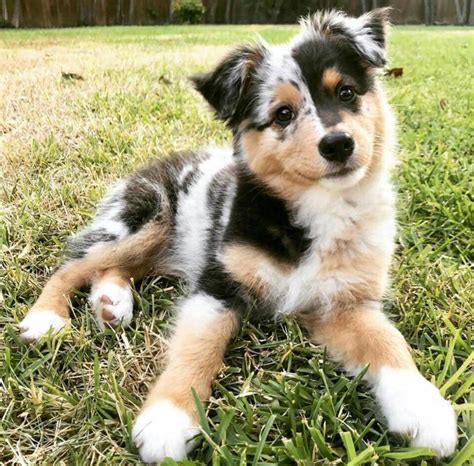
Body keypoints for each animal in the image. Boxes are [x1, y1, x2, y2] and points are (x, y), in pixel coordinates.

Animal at [19, 7, 460, 462]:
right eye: (283, 114)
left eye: (347, 93)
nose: (339, 144)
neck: (318, 207)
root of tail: (151, 165)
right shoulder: (218, 284)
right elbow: (197, 347)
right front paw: (168, 417)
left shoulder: (344, 302)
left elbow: (387, 341)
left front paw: (423, 408)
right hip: (146, 217)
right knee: (73, 264)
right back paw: (47, 318)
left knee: (116, 267)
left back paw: (111, 302)